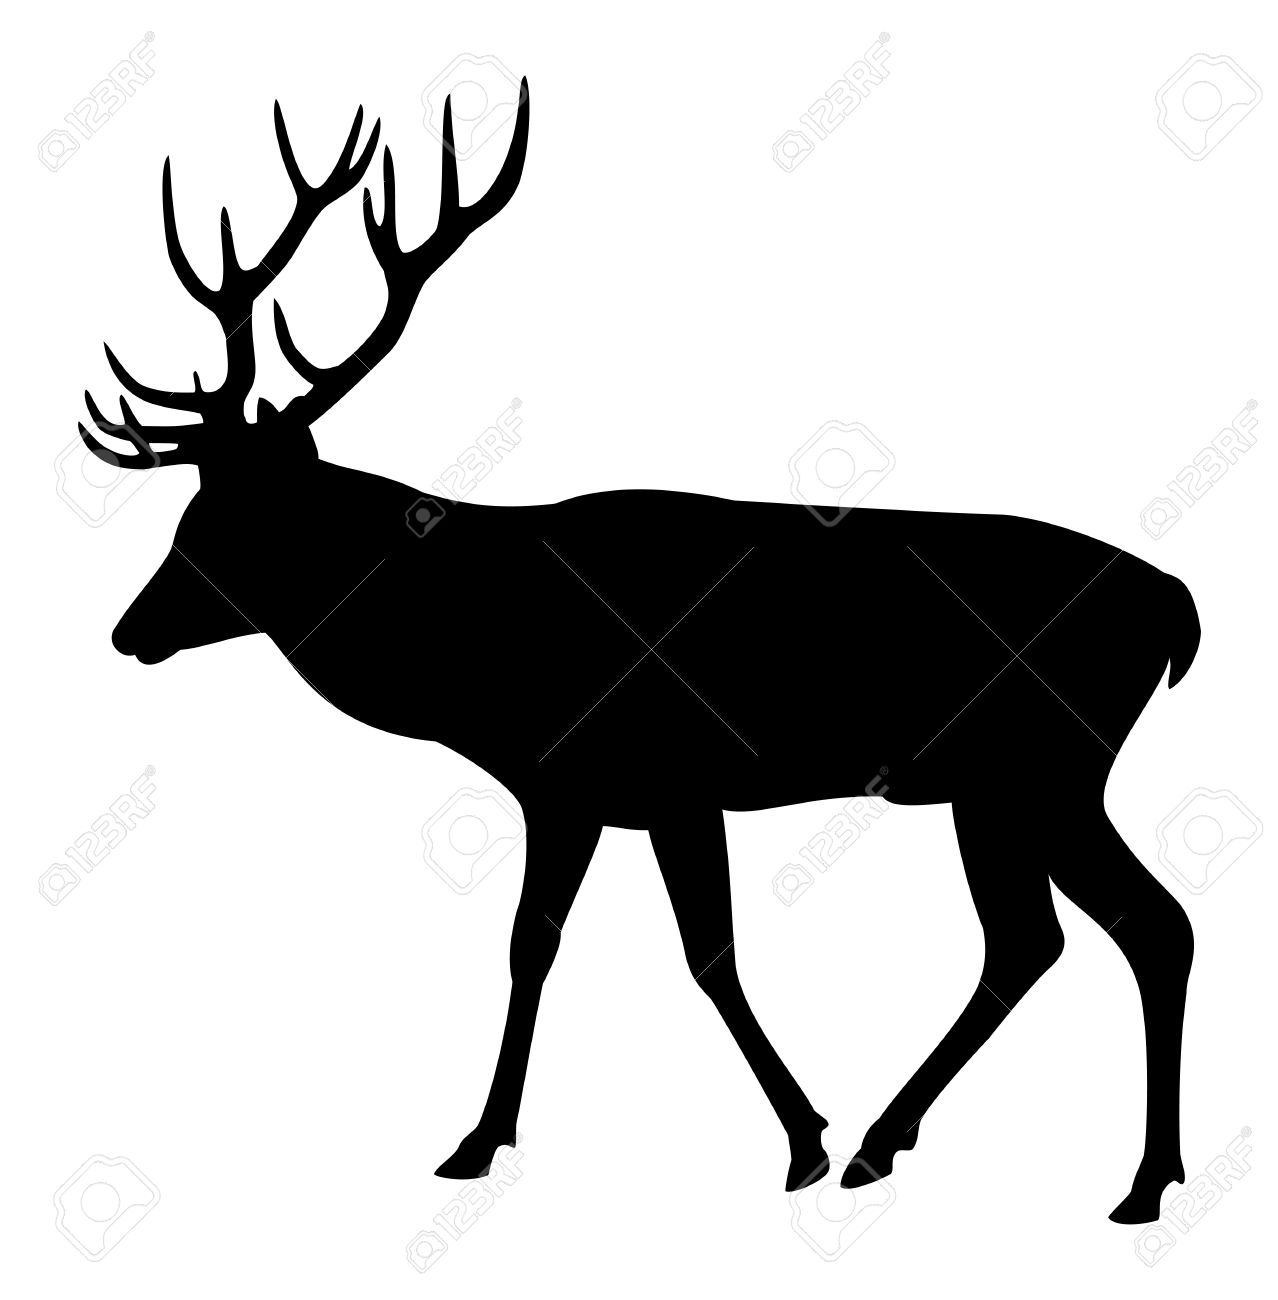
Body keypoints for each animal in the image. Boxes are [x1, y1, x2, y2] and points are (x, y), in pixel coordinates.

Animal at [76, 79, 1201, 1225]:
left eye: (230, 526)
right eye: (189, 512)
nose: (130, 630)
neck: (479, 659)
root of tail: (1178, 609)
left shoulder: (672, 780)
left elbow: (707, 956)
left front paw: (800, 1140)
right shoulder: (567, 790)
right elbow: (534, 946)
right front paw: (484, 1140)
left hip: (1047, 769)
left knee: (1145, 925)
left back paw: (1132, 1179)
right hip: (1003, 788)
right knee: (1040, 939)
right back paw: (903, 1143)